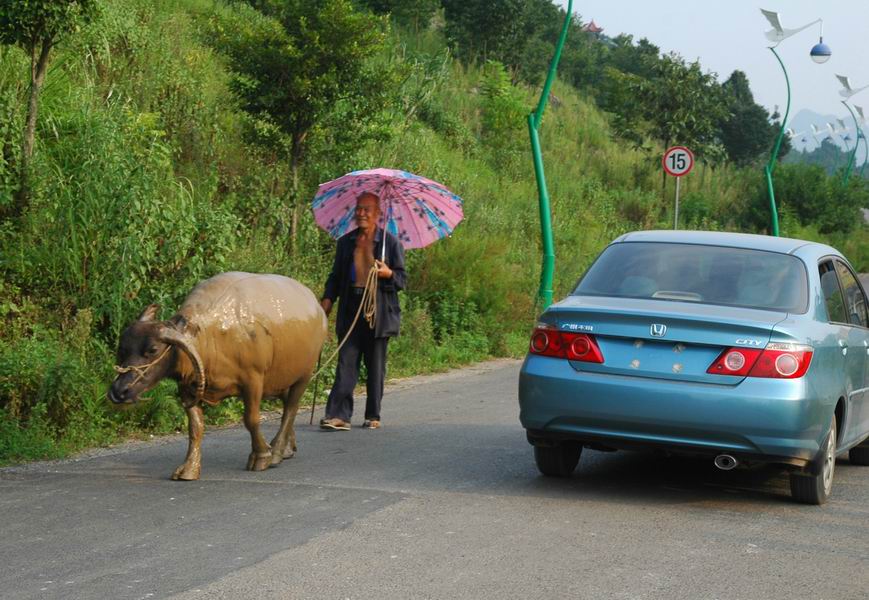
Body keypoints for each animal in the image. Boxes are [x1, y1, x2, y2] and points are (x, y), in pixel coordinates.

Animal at [107, 274, 326, 480]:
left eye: (153, 349)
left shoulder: (253, 380)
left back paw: (278, 450)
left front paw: (262, 456)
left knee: (291, 408)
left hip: (304, 375)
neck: (210, 337)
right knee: (287, 404)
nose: (119, 391)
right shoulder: (188, 388)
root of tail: (317, 308)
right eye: (122, 348)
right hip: (280, 379)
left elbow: (251, 419)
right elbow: (195, 427)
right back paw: (287, 448)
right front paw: (189, 469)